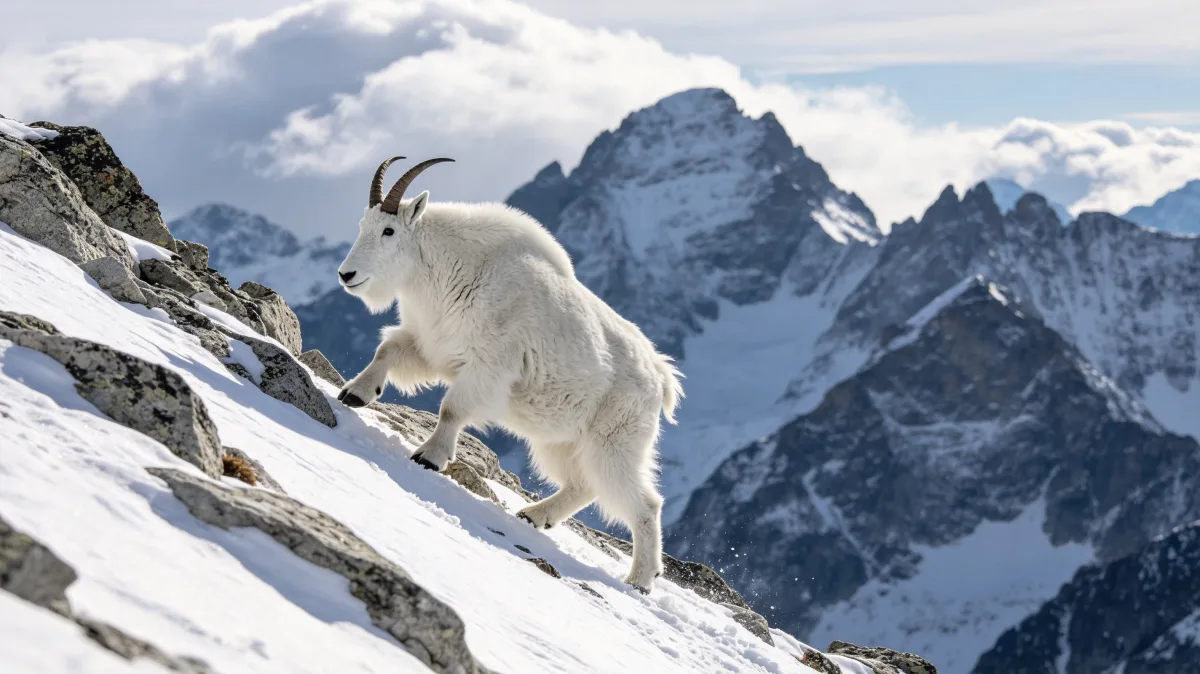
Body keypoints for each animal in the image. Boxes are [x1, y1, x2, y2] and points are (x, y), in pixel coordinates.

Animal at [335, 156, 684, 592]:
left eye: (389, 230)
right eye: (362, 225)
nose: (347, 275)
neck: (450, 267)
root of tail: (662, 379)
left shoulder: (489, 365)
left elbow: (452, 408)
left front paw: (429, 457)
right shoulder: (434, 345)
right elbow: (389, 350)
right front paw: (355, 393)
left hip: (616, 441)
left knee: (643, 503)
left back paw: (640, 579)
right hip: (563, 440)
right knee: (583, 484)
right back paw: (534, 516)